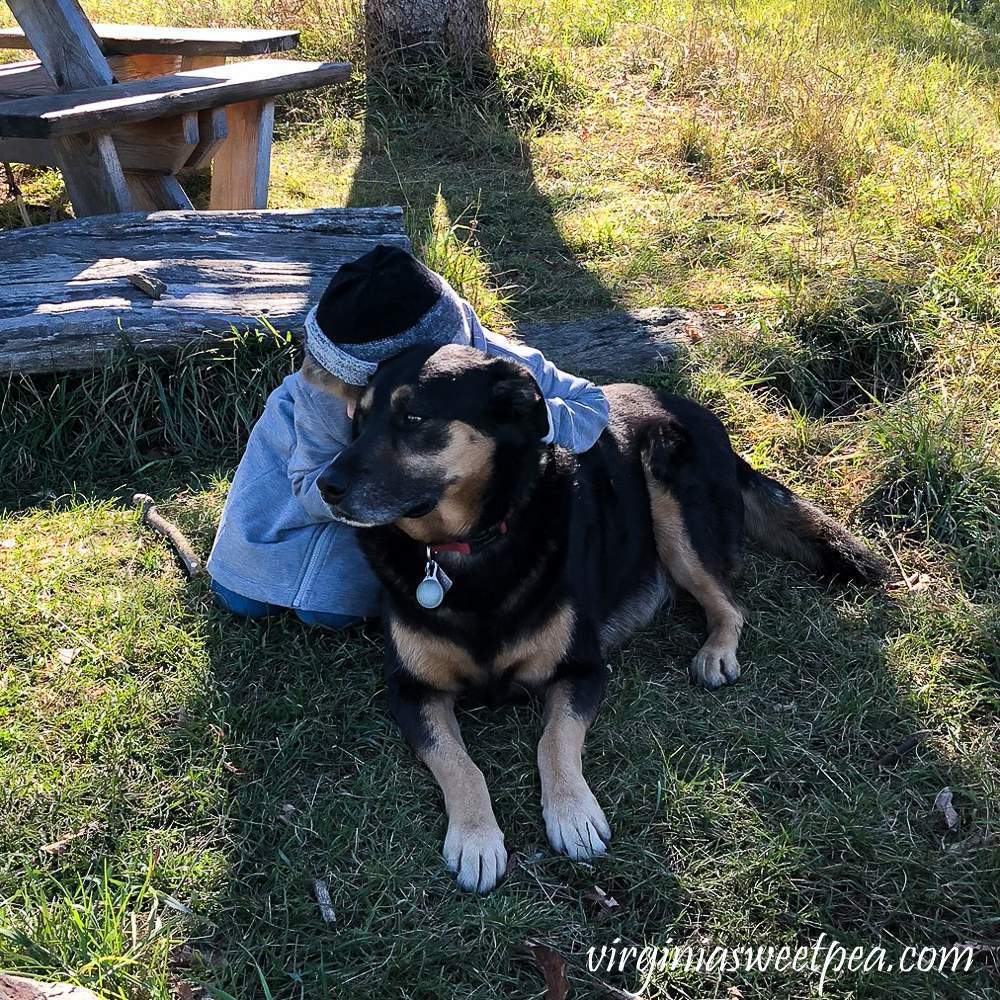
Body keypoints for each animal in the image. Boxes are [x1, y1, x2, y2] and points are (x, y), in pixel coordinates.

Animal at [310, 342, 884, 892]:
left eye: (412, 418)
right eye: (359, 420)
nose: (325, 485)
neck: (470, 548)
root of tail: (695, 409)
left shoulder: (582, 670)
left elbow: (555, 741)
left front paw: (572, 813)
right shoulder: (412, 692)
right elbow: (459, 764)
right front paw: (476, 838)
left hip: (669, 493)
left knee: (729, 603)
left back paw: (716, 652)